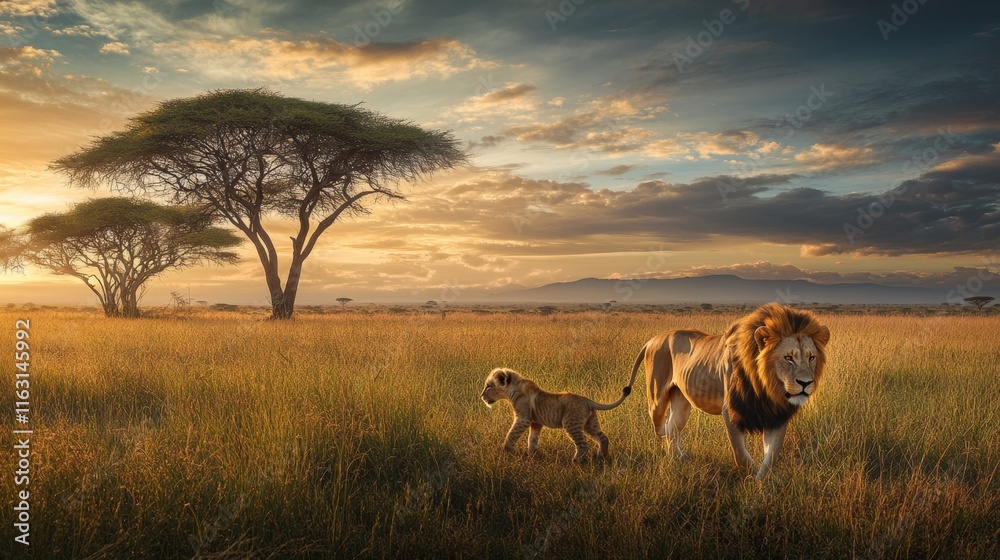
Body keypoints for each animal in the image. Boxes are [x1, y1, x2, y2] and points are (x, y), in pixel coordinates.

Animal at [480, 367, 632, 462]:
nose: (481, 396)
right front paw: (532, 455)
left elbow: (512, 434)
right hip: (590, 424)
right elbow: (532, 439)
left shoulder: (523, 419)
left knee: (583, 445)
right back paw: (601, 457)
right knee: (603, 438)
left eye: (488, 386)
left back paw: (576, 461)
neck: (513, 390)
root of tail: (587, 400)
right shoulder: (536, 422)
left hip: (571, 423)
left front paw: (505, 451)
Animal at [626, 303, 830, 479]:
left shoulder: (776, 415)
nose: (806, 383)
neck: (767, 388)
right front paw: (752, 476)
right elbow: (741, 456)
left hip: (682, 404)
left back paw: (679, 459)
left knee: (672, 428)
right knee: (663, 427)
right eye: (788, 358)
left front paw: (764, 482)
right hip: (657, 400)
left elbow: (771, 456)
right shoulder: (731, 411)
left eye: (811, 357)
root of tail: (653, 339)